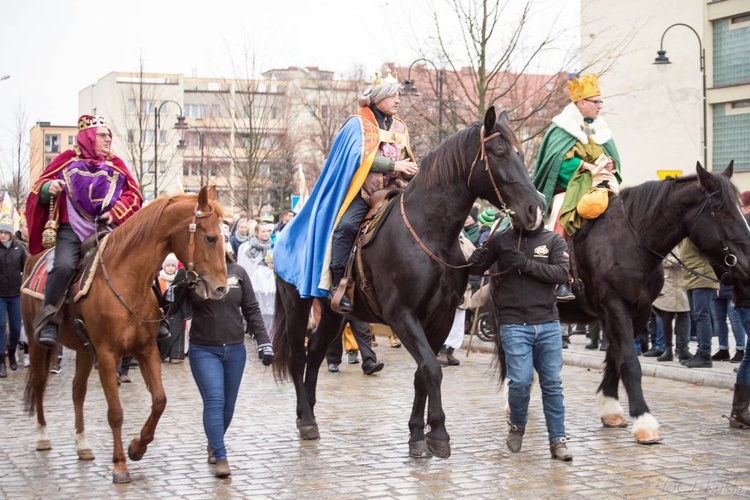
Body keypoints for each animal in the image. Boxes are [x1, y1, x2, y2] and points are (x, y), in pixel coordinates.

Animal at [23, 186, 229, 482]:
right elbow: (116, 412)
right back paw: (42, 436)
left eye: (224, 237)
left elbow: (159, 401)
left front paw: (137, 447)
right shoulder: (108, 355)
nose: (221, 289)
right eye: (211, 238)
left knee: (77, 391)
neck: (128, 280)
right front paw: (120, 464)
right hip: (37, 342)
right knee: (40, 384)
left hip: (84, 349)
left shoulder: (146, 350)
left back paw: (82, 444)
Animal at [274, 107, 548, 458]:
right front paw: (439, 434)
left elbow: (423, 372)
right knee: (298, 357)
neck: (429, 232)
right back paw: (306, 420)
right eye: (499, 153)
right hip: (297, 305)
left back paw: (308, 412)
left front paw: (418, 435)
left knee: (317, 352)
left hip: (334, 314)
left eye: (519, 154)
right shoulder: (402, 315)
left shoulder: (441, 316)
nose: (535, 209)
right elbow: (431, 368)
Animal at [556, 163, 750, 442]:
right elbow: (629, 360)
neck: (631, 242)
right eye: (723, 210)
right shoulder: (615, 306)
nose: (747, 265)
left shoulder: (638, 310)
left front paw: (610, 408)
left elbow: (616, 356)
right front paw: (643, 420)